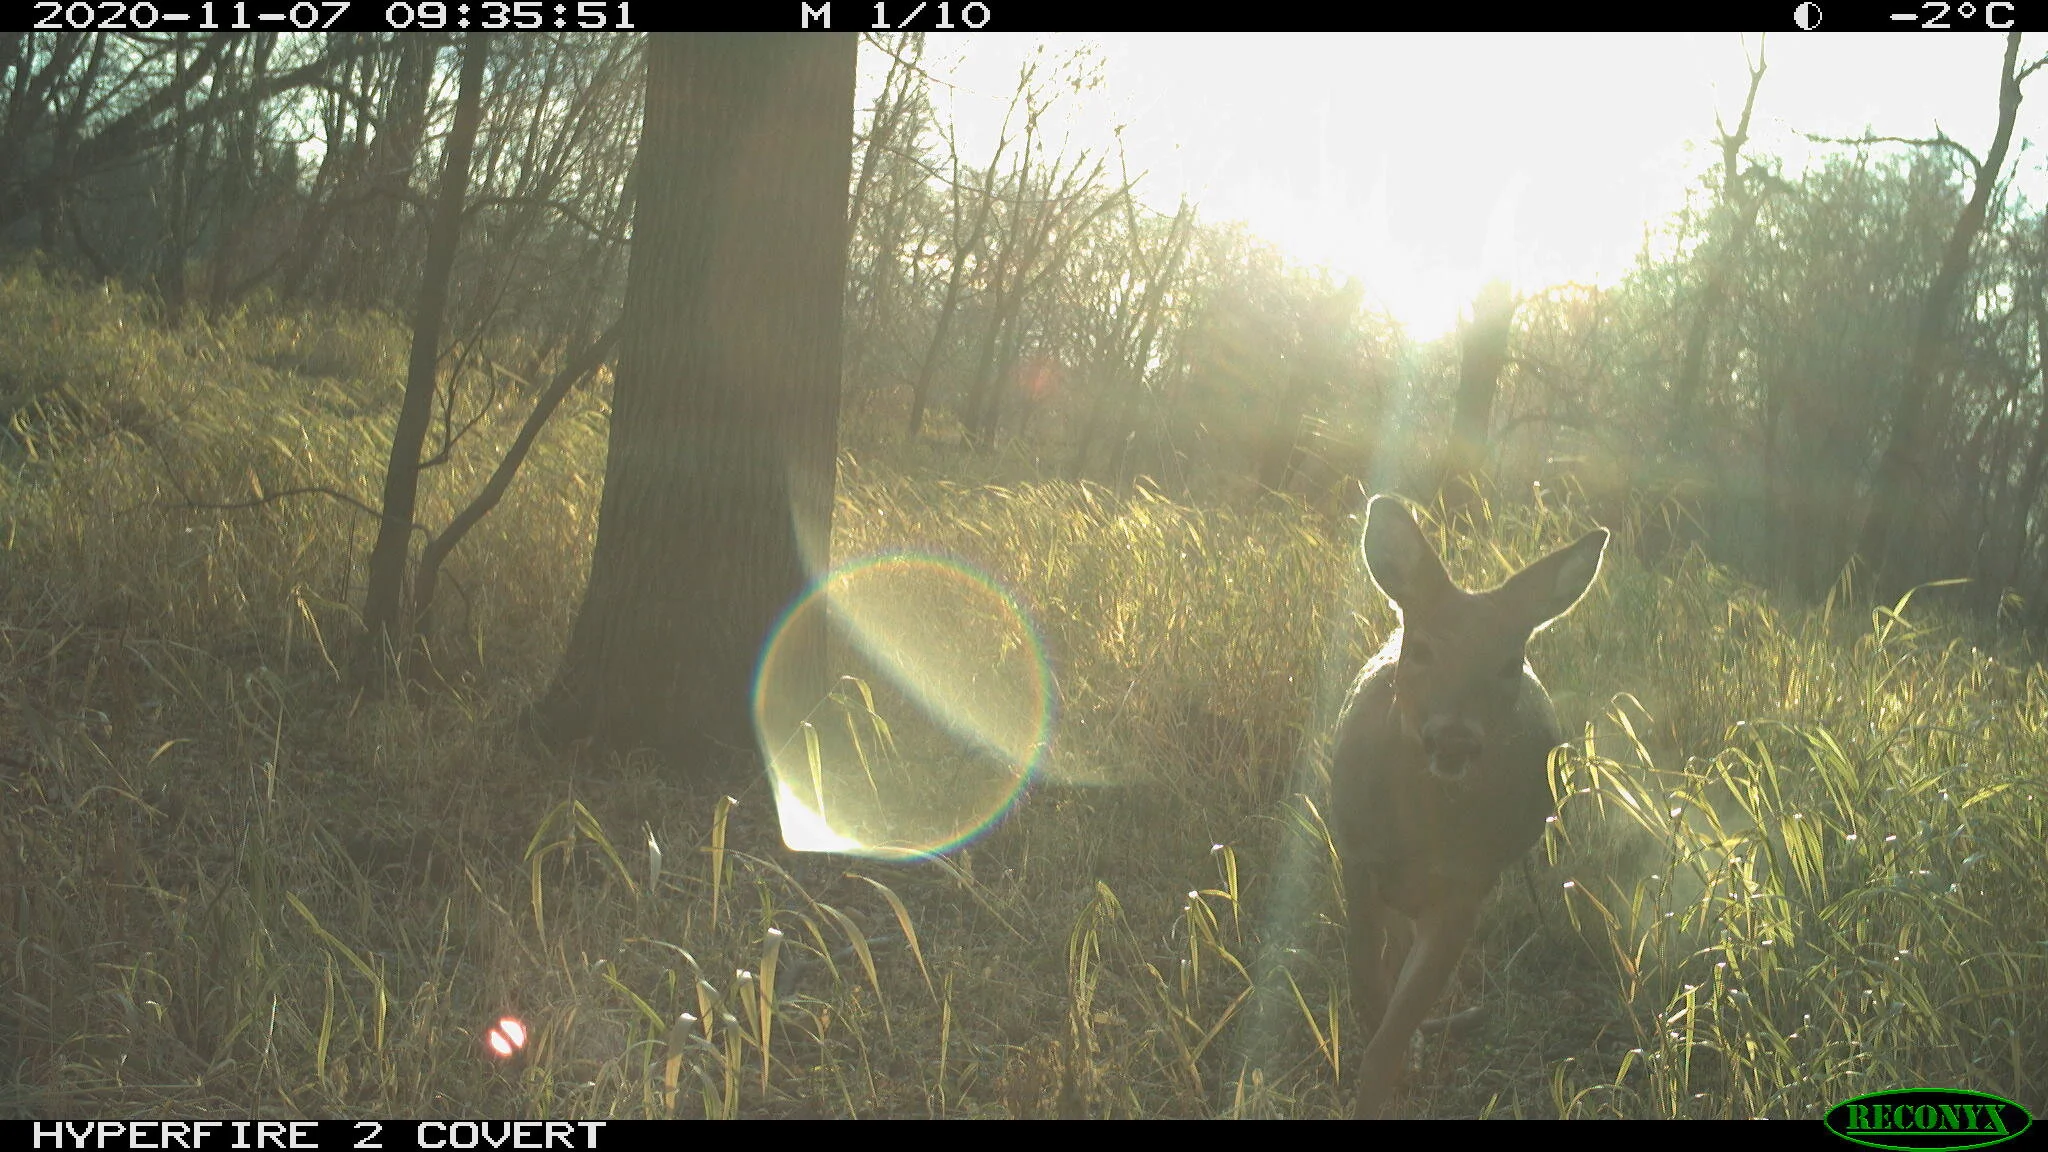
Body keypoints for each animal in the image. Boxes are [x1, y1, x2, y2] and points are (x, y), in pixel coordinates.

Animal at [1332, 495, 1607, 1118]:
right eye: (1422, 648)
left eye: (1509, 663)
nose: (1454, 739)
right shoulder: (1355, 856)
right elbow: (1365, 981)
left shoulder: (1468, 887)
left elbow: (1394, 1022)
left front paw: (1391, 1073)